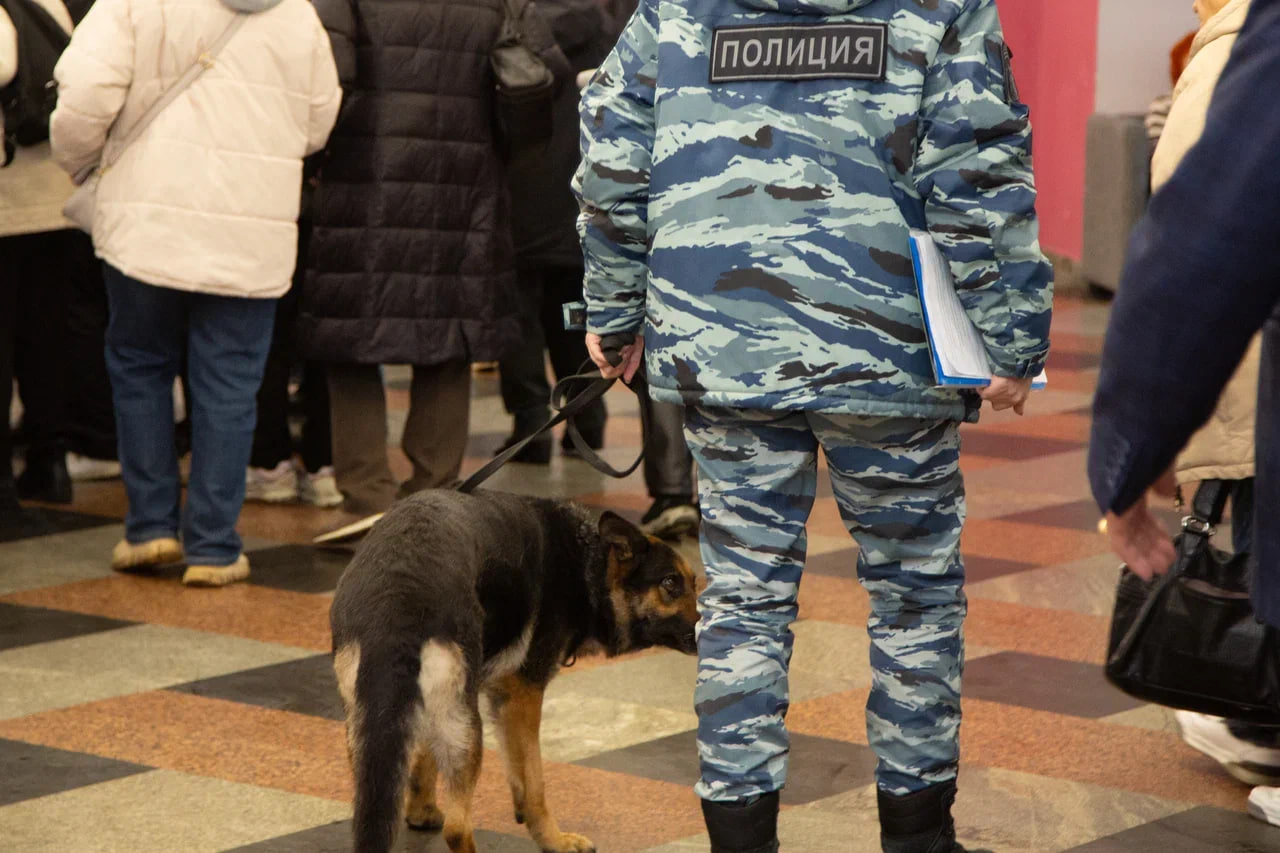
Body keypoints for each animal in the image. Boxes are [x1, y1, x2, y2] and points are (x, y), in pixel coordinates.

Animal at [325, 484, 696, 850]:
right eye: (670, 583)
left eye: (693, 583)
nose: (706, 631)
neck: (588, 564)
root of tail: (398, 597)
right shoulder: (522, 694)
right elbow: (534, 781)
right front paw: (554, 839)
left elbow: (427, 756)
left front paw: (421, 809)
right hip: (465, 726)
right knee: (458, 828)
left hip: (369, 732)